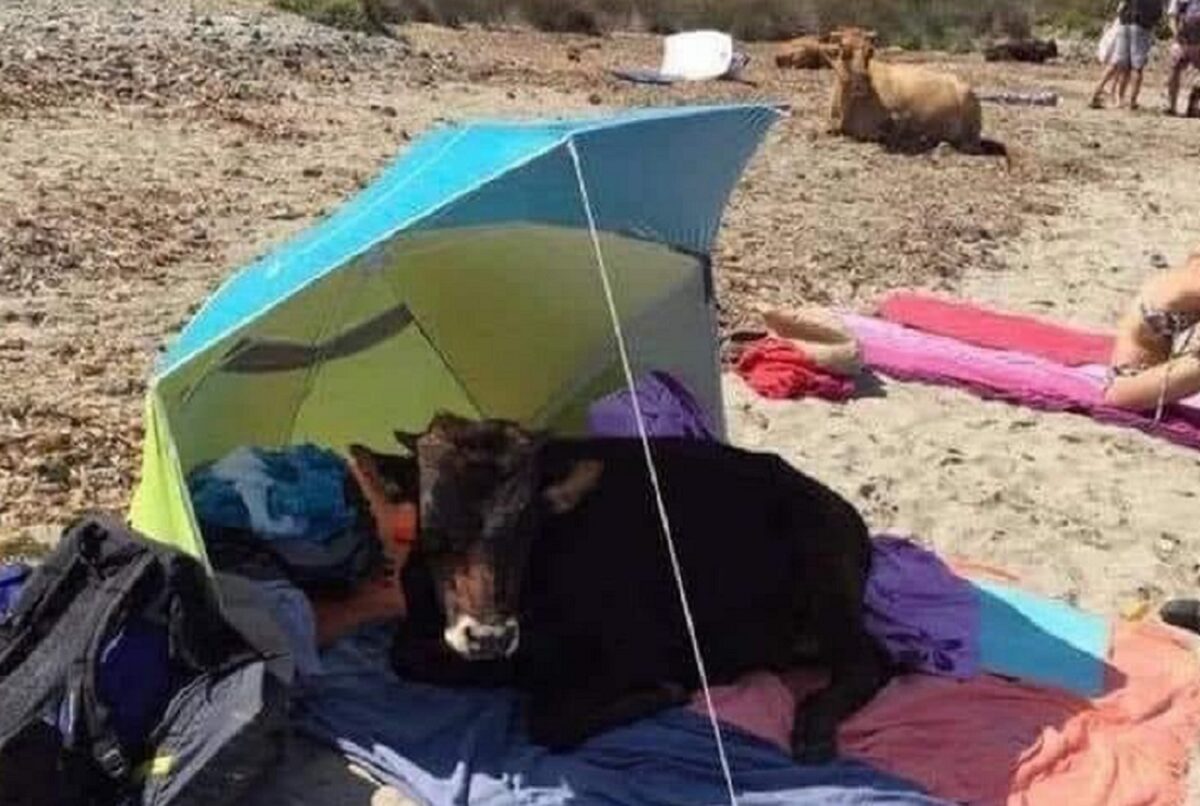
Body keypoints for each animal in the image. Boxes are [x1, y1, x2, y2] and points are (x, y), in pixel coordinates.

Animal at [349, 412, 889, 763]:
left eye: (527, 528)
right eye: (434, 529)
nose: (489, 636)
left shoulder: (632, 649)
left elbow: (550, 722)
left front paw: (662, 693)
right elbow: (403, 657)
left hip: (824, 574)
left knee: (875, 658)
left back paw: (813, 728)